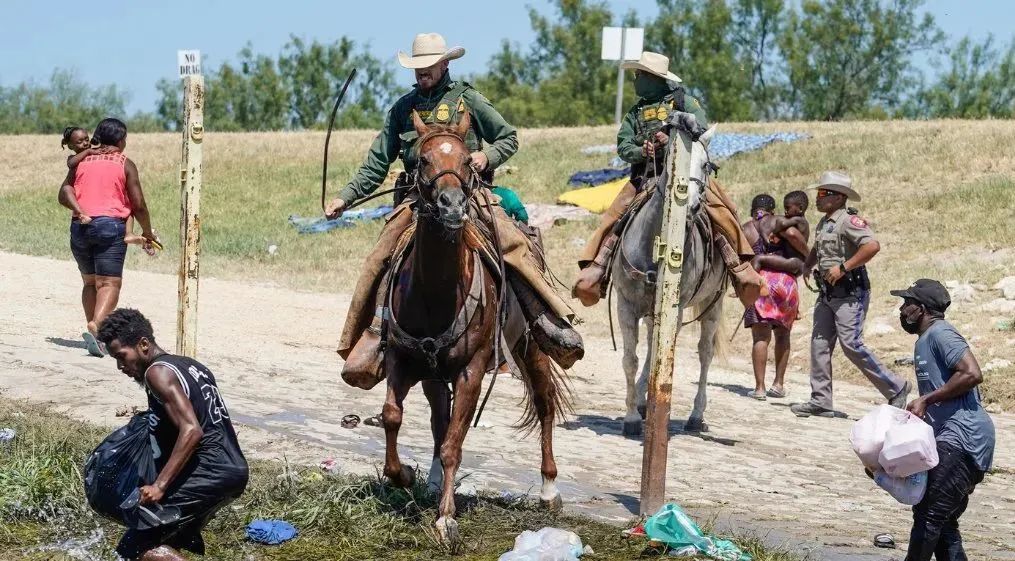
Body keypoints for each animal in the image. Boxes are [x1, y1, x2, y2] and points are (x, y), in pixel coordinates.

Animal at [381, 109, 572, 543]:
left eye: (468, 160)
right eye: (422, 159)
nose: (452, 206)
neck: (435, 293)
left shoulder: (471, 371)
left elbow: (455, 442)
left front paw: (446, 518)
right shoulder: (402, 359)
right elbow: (393, 417)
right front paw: (403, 476)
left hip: (531, 349)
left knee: (545, 403)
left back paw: (549, 488)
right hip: (434, 375)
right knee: (439, 419)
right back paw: (434, 480)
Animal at [613, 121, 726, 438]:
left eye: (707, 165)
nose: (692, 206)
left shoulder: (675, 308)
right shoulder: (626, 304)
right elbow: (630, 360)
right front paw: (631, 417)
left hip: (713, 305)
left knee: (704, 354)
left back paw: (696, 415)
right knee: (653, 346)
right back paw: (643, 400)